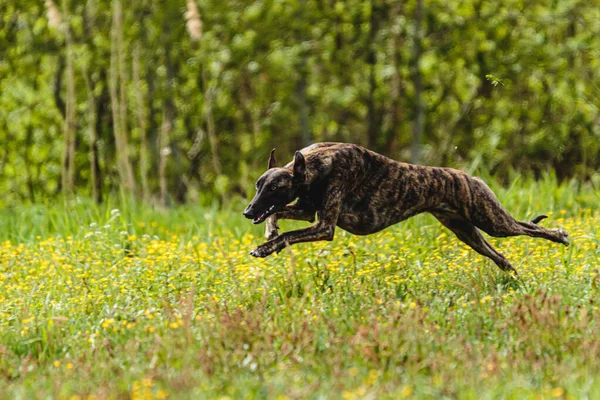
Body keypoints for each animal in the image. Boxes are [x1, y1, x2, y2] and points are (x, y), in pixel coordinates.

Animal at [243, 142, 568, 274]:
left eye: (274, 188)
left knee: (528, 226)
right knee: (500, 255)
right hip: (467, 232)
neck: (316, 165)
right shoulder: (307, 211)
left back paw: (561, 235)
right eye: (258, 185)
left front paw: (265, 247)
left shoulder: (324, 227)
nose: (247, 212)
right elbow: (278, 214)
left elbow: (289, 234)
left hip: (492, 221)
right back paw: (512, 274)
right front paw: (270, 232)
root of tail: (469, 176)